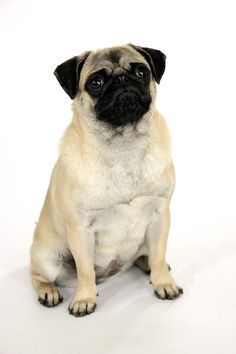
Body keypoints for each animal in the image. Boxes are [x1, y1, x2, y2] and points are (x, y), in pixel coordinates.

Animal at [29, 42, 183, 316]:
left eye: (141, 72)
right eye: (96, 82)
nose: (122, 79)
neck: (124, 146)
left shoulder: (160, 214)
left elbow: (158, 254)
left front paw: (163, 282)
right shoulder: (80, 229)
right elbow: (85, 271)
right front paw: (84, 299)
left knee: (147, 256)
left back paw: (150, 265)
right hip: (47, 256)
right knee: (39, 275)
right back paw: (49, 292)